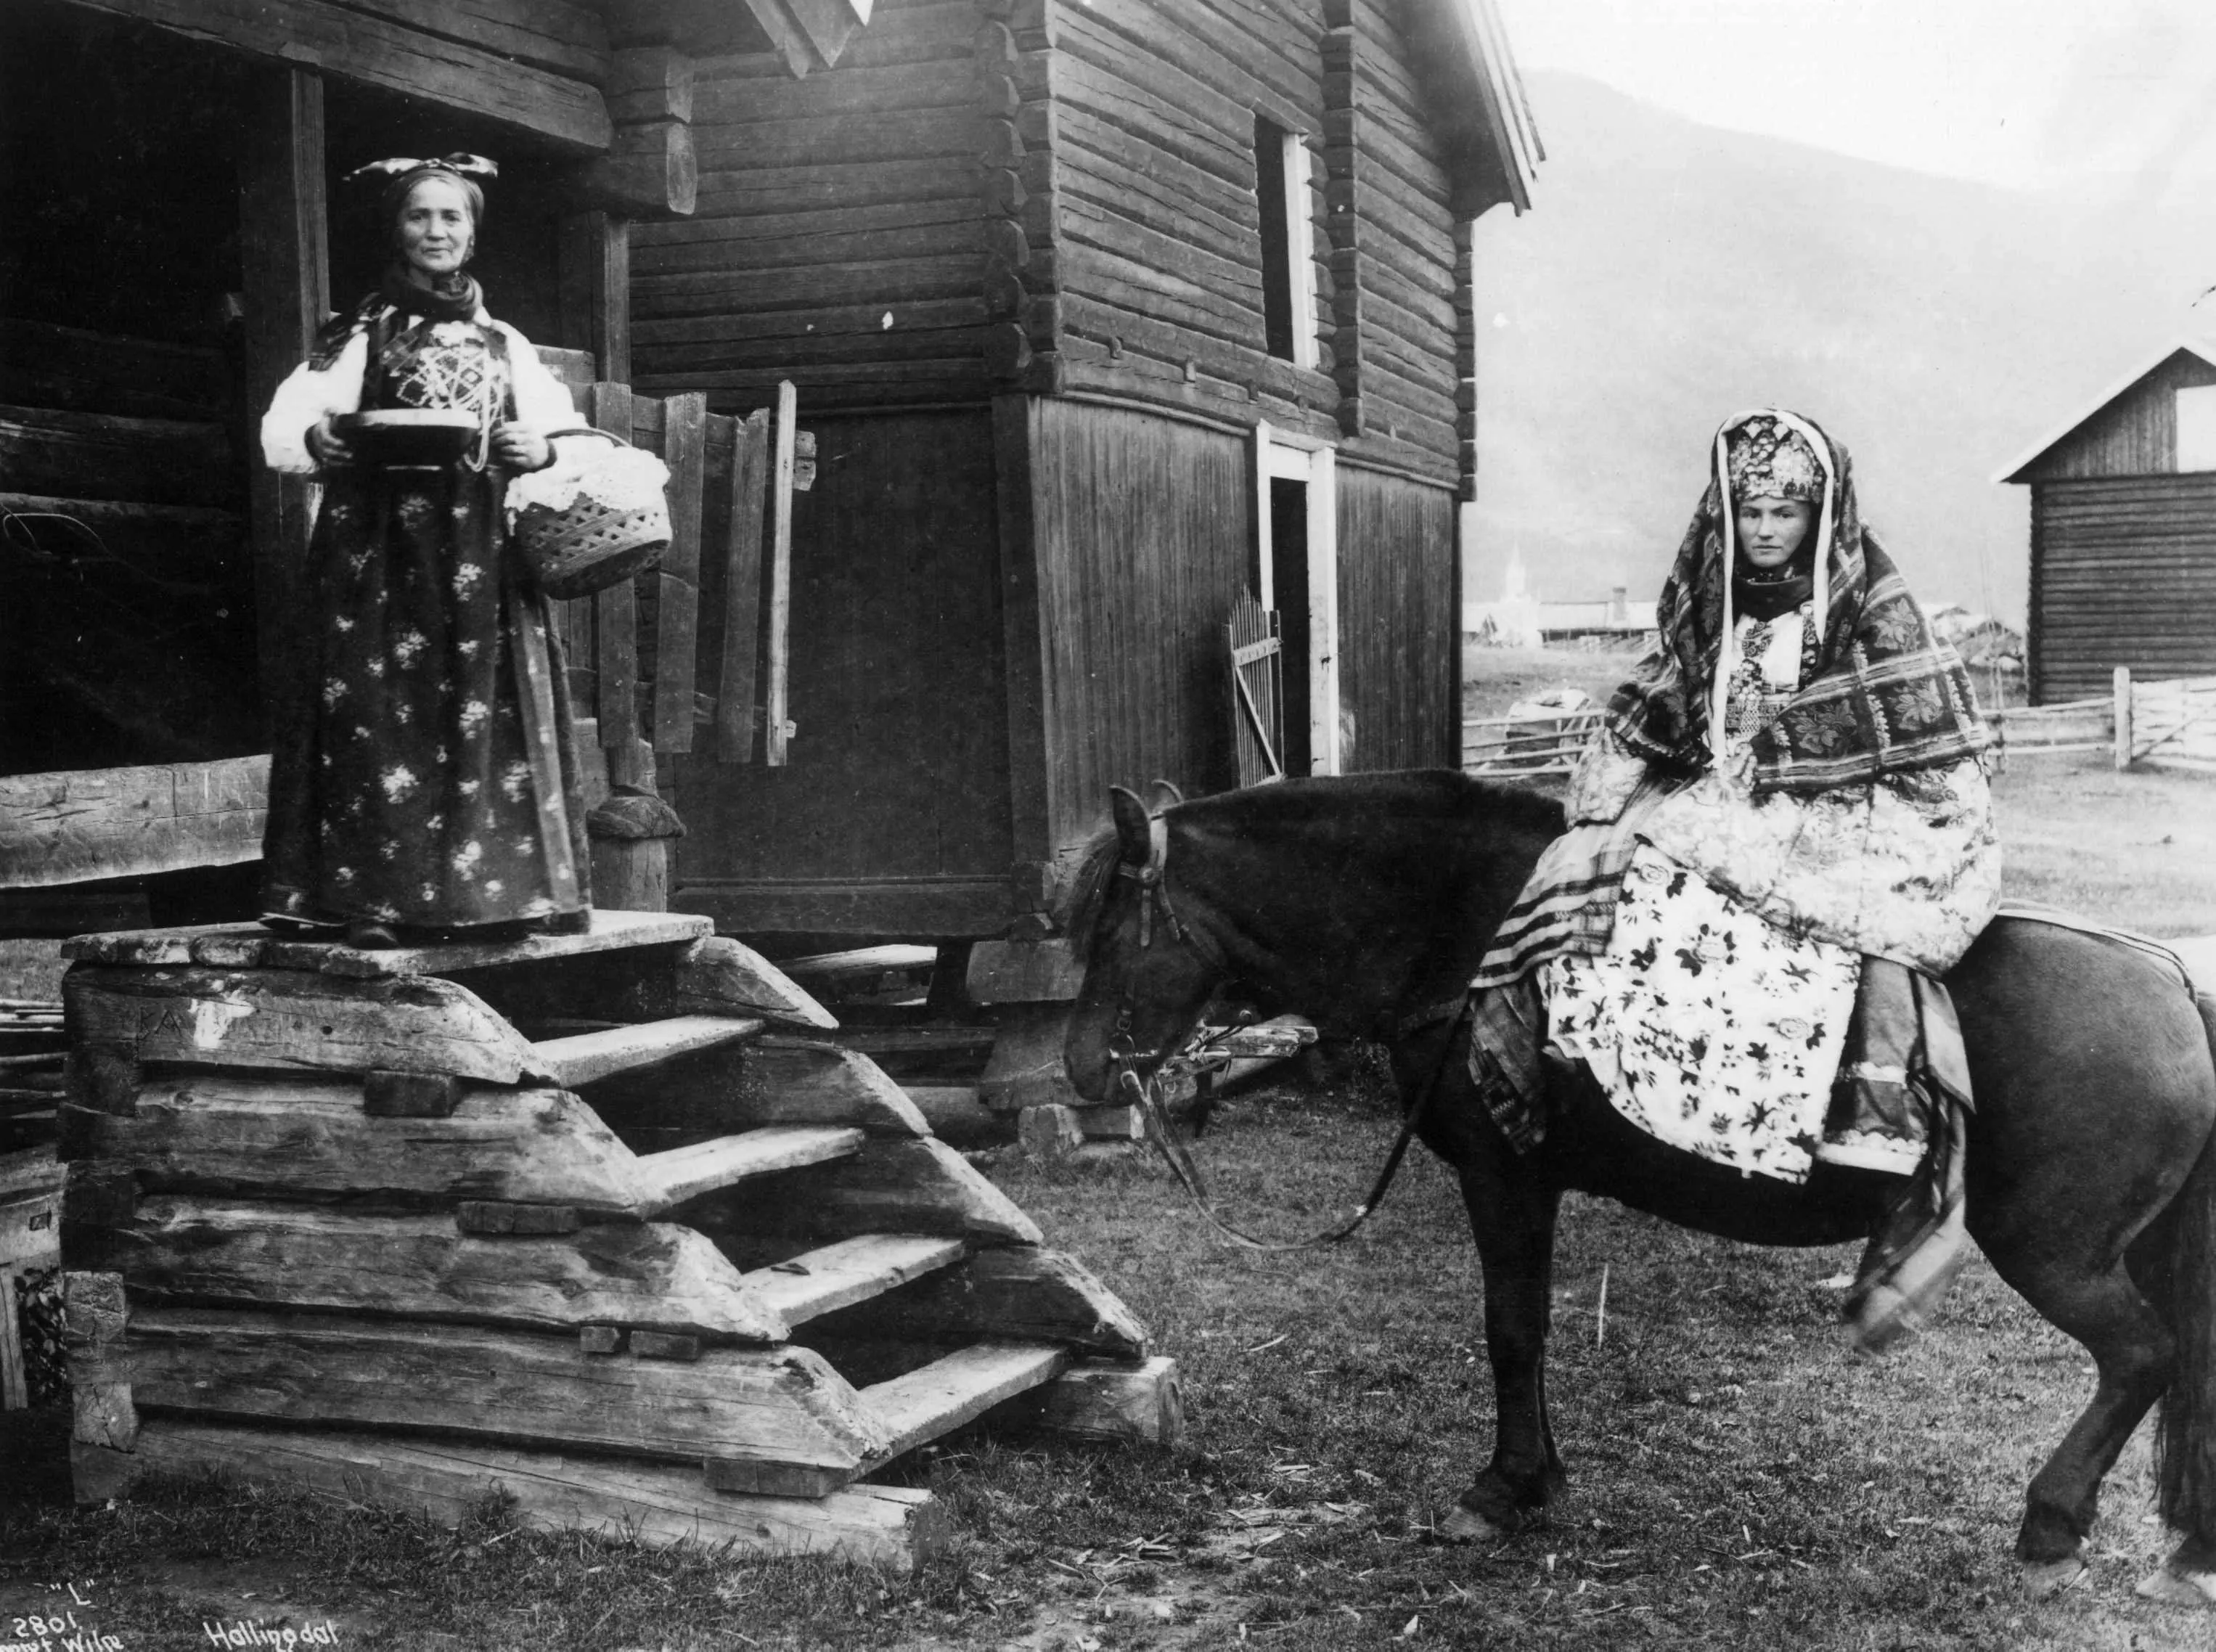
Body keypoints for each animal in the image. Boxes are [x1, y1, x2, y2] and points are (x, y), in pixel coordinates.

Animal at [1059, 772, 2216, 1596]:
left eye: (1111, 927)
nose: (1076, 1069)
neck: (1473, 935)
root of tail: (2172, 984)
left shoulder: (1506, 1175)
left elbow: (1510, 1329)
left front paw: (1502, 1489)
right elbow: (1528, 1326)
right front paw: (1537, 1478)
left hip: (2052, 1251)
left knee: (2141, 1355)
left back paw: (2050, 1520)